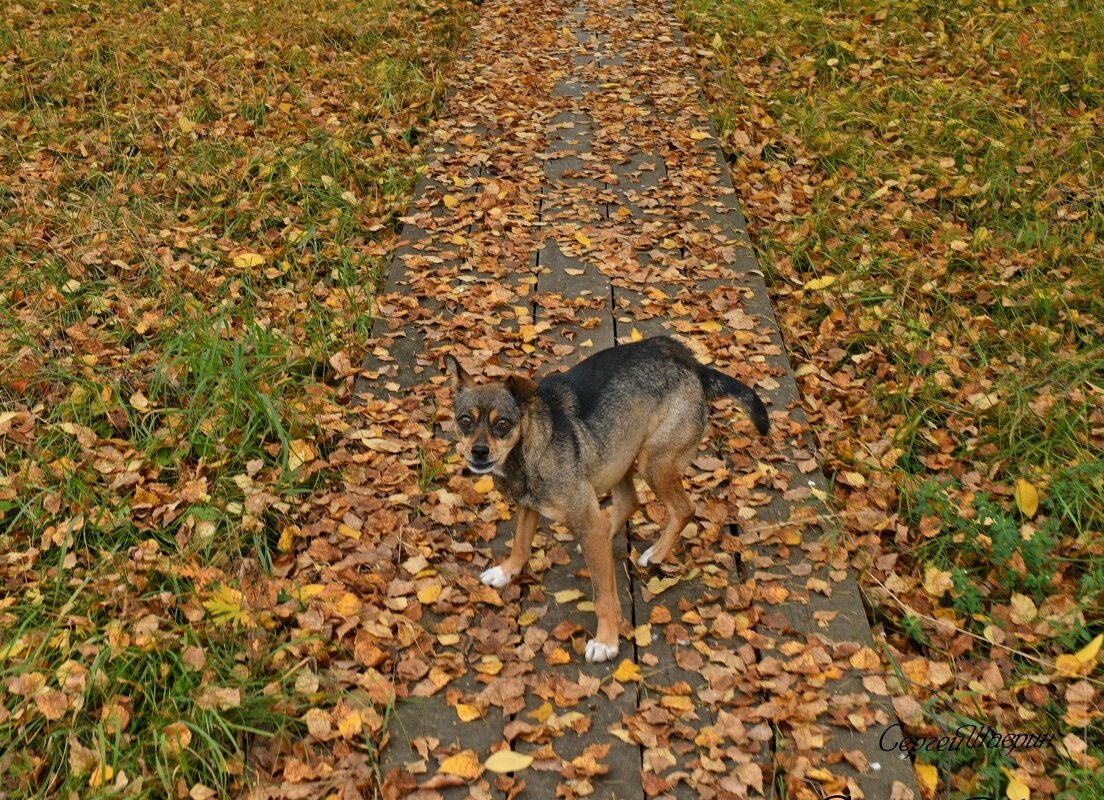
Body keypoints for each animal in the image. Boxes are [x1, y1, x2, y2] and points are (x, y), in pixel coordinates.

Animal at [439, 335, 768, 662]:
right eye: (465, 421)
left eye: (503, 424)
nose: (478, 452)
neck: (531, 444)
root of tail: (693, 365)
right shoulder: (528, 506)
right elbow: (520, 543)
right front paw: (505, 572)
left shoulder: (580, 518)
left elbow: (604, 597)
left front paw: (607, 640)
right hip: (618, 453)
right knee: (627, 504)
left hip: (652, 463)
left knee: (683, 508)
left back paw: (657, 553)